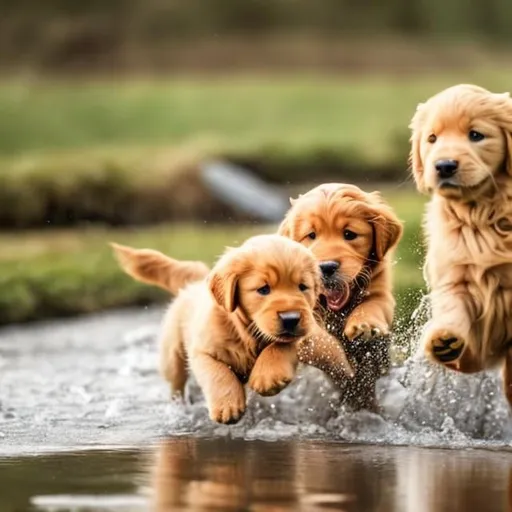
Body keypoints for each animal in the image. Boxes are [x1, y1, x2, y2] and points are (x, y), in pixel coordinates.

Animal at [111, 235, 352, 424]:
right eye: (263, 289)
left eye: (303, 287)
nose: (290, 318)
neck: (247, 331)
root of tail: (195, 282)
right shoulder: (202, 351)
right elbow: (218, 374)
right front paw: (228, 407)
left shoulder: (304, 331)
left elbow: (281, 345)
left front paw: (267, 377)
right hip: (172, 356)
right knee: (176, 383)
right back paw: (179, 407)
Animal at [410, 82, 512, 406]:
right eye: (432, 138)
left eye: (476, 135)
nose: (444, 166)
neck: (484, 212)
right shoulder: (456, 272)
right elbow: (453, 306)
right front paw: (444, 340)